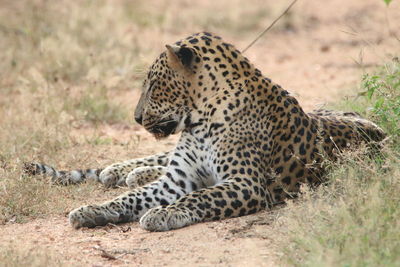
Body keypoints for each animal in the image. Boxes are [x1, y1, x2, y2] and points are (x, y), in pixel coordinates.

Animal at [23, 31, 386, 232]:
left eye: (154, 85)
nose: (136, 118)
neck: (200, 121)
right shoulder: (176, 179)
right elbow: (132, 198)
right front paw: (93, 210)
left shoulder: (245, 183)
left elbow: (200, 196)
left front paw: (163, 214)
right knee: (156, 159)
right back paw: (125, 171)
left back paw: (131, 173)